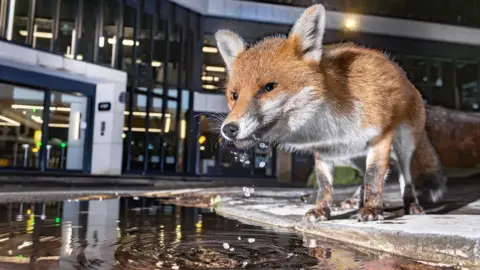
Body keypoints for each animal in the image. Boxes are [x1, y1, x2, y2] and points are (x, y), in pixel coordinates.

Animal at [217, 3, 446, 221]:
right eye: (234, 95)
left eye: (269, 87)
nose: (228, 129)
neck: (329, 127)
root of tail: (407, 78)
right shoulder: (324, 152)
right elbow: (325, 186)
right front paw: (322, 211)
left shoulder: (380, 138)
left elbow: (373, 177)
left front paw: (372, 208)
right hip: (350, 156)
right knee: (363, 176)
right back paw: (355, 201)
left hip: (403, 146)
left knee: (404, 178)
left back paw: (410, 204)